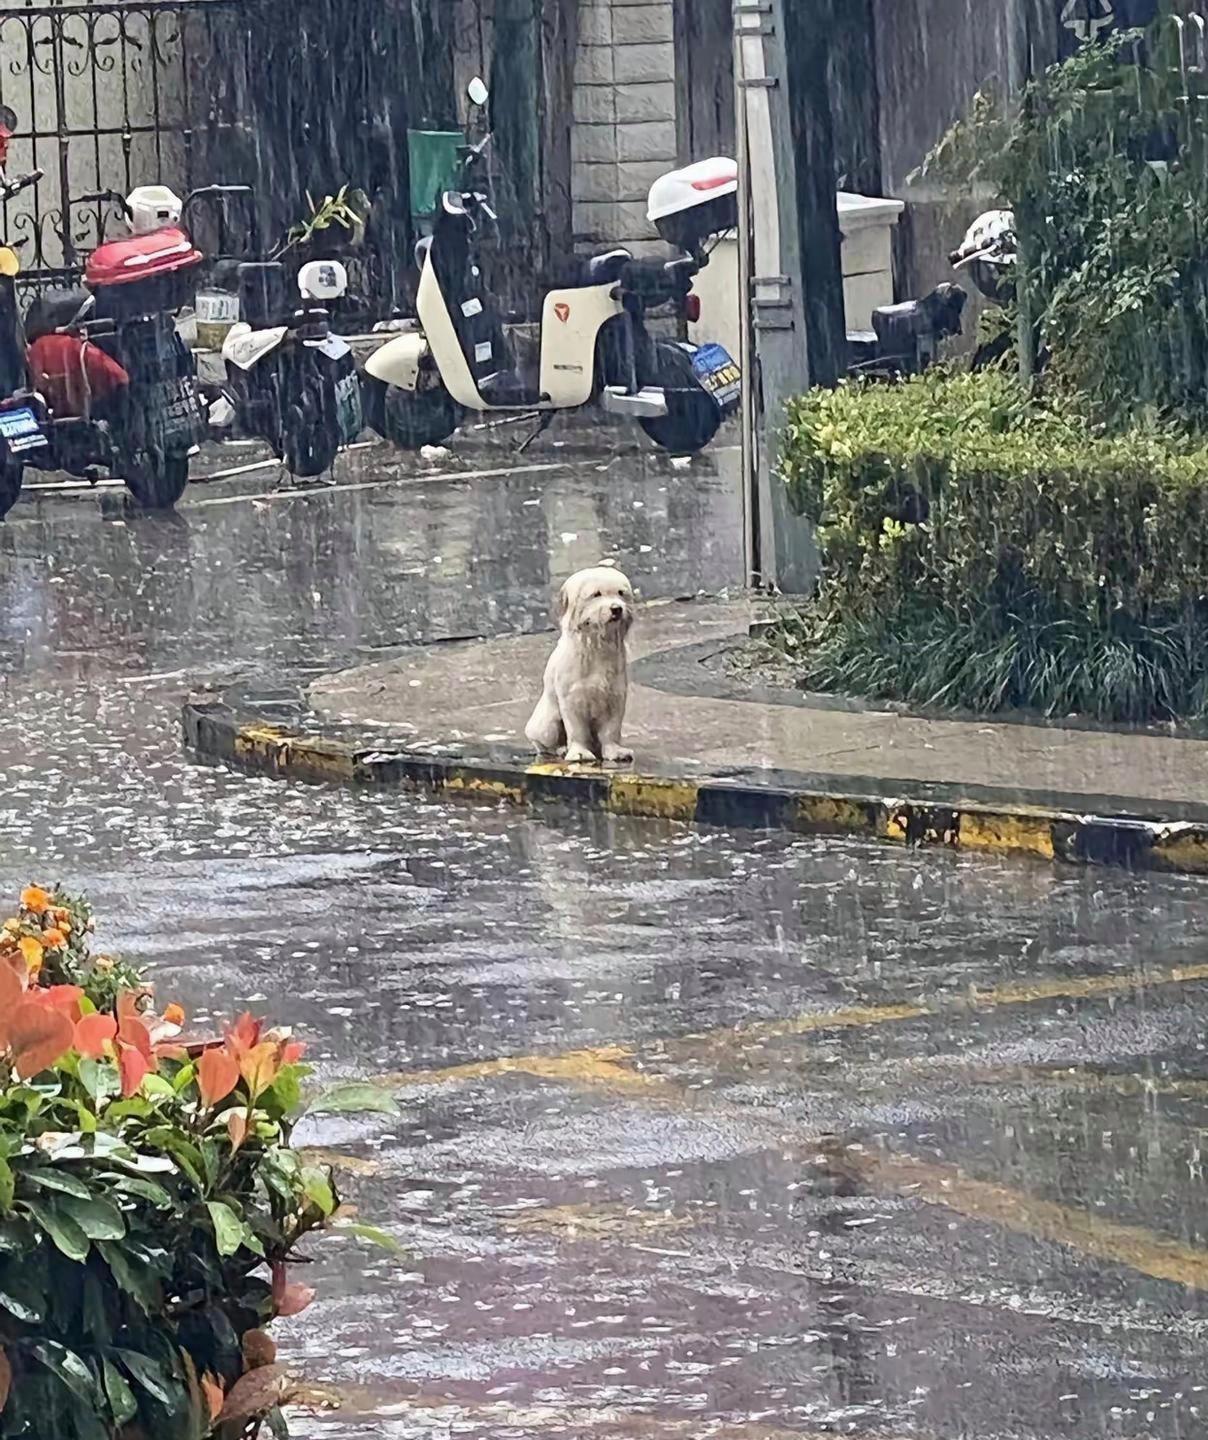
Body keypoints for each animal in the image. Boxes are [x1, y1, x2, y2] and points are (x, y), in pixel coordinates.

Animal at [529, 561, 642, 766]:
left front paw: (614, 751)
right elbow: (577, 729)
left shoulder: (614, 697)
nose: (616, 609)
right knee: (545, 742)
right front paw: (579, 752)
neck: (596, 645)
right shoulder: (572, 698)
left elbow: (611, 729)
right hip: (547, 723)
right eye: (596, 594)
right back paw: (560, 748)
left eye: (621, 593)